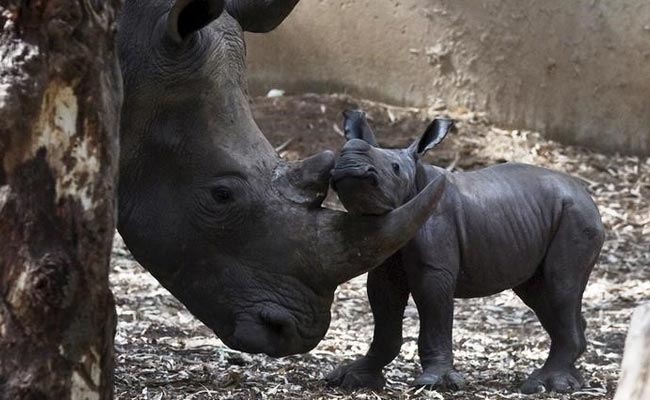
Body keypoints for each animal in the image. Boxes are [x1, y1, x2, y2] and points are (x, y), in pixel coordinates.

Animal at [327, 110, 605, 393]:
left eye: (395, 168)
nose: (349, 160)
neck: (415, 182)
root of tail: (588, 196)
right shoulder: (385, 256)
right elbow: (384, 309)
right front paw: (352, 377)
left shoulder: (435, 262)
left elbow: (433, 306)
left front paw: (434, 382)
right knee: (541, 294)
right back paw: (570, 381)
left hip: (576, 216)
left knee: (561, 286)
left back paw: (545, 384)